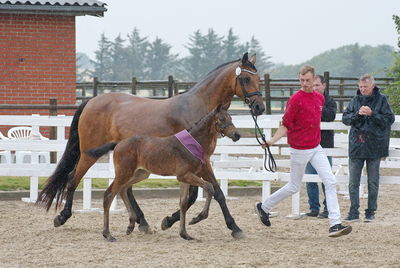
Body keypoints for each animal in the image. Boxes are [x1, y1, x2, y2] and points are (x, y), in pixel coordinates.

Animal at [86, 104, 239, 241]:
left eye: (231, 117)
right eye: (222, 119)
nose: (237, 134)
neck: (193, 143)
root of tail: (118, 143)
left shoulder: (185, 178)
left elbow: (183, 202)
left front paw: (184, 234)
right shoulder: (184, 175)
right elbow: (209, 187)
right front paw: (197, 218)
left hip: (140, 173)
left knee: (123, 189)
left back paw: (130, 225)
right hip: (124, 173)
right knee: (109, 194)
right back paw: (108, 234)